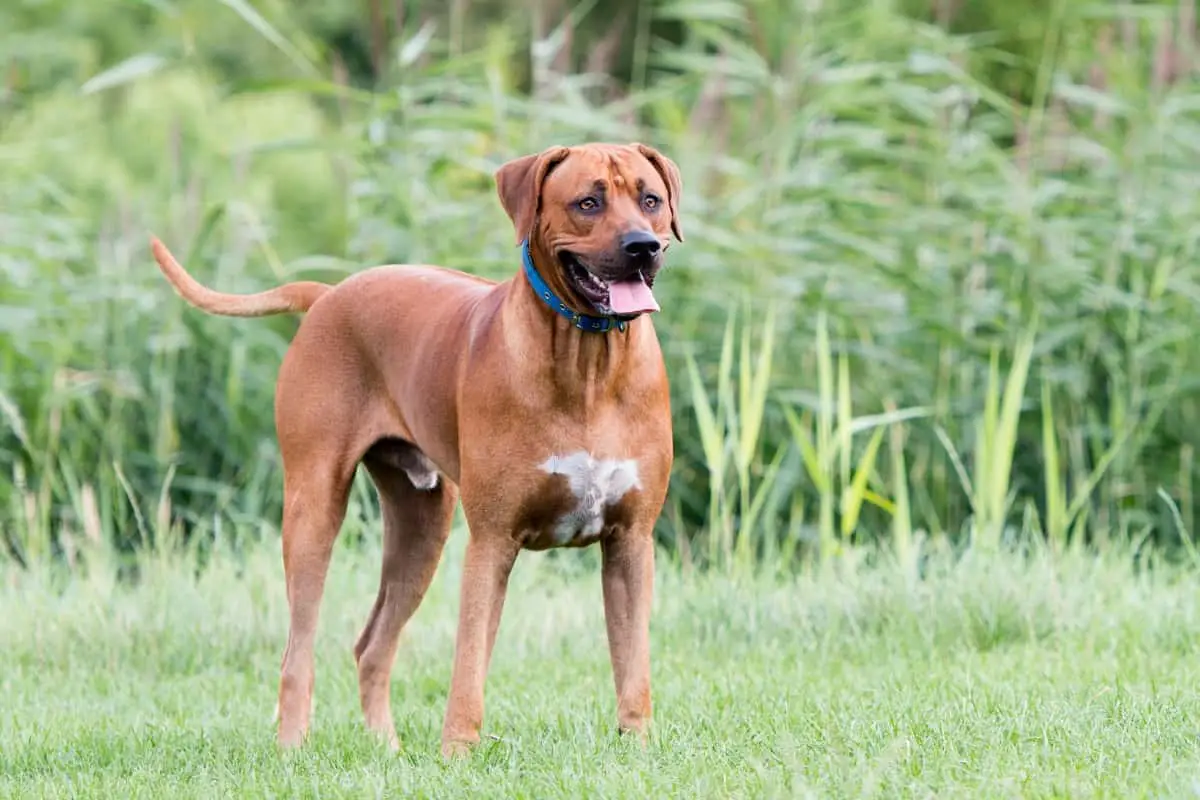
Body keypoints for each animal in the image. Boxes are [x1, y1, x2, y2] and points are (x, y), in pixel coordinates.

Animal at [147, 142, 686, 758]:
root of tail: (329, 295)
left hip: (421, 525)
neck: (588, 362)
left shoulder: (631, 543)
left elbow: (633, 663)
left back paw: (389, 751)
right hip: (313, 511)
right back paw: (292, 749)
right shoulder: (491, 543)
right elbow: (469, 664)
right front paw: (458, 755)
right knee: (297, 651)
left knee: (372, 646)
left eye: (651, 200)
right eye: (588, 202)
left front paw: (638, 747)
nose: (642, 246)